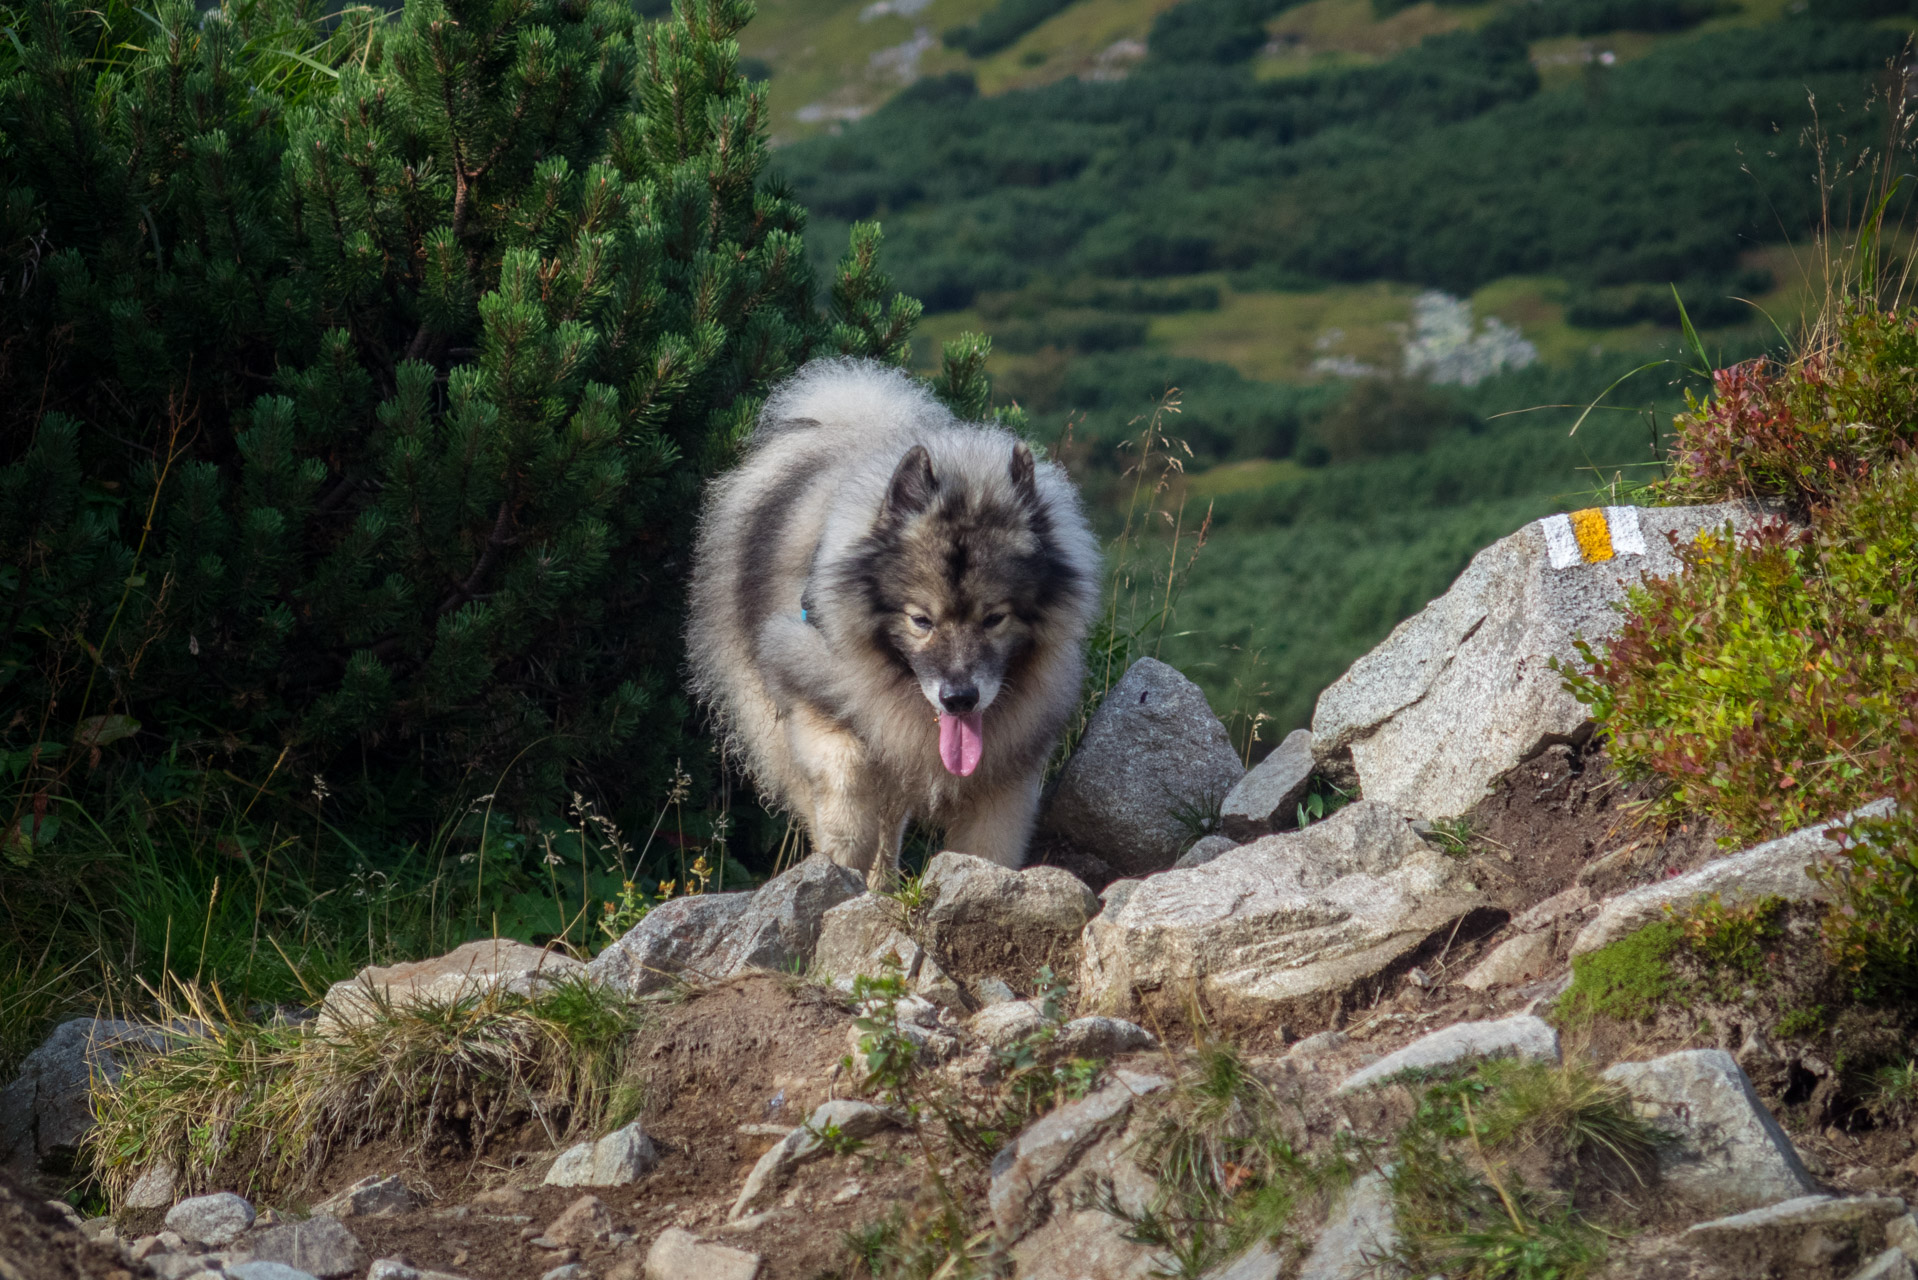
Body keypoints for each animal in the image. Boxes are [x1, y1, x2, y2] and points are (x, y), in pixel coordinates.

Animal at [694, 358, 1104, 882]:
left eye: (995, 618)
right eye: (920, 620)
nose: (959, 699)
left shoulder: (1007, 768)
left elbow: (988, 847)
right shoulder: (820, 699)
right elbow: (847, 784)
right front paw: (842, 863)